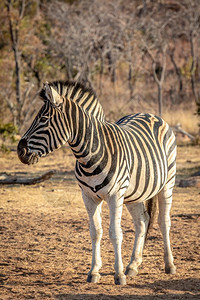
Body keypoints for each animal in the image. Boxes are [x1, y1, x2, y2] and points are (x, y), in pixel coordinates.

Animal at [17, 80, 177, 286]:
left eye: (43, 119)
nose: (20, 151)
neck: (90, 155)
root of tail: (151, 114)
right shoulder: (88, 196)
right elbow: (96, 232)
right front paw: (94, 271)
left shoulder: (114, 195)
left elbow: (115, 233)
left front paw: (118, 275)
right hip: (133, 194)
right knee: (142, 221)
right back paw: (133, 265)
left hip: (167, 183)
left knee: (164, 222)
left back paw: (169, 265)